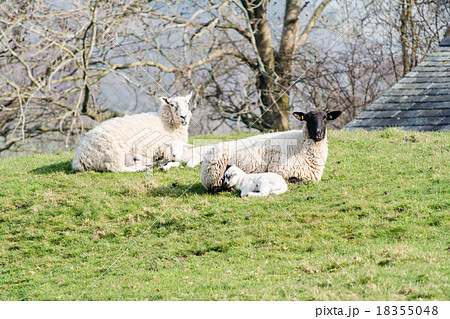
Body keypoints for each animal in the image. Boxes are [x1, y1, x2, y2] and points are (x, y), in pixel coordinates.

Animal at [200, 111, 342, 194]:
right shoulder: (280, 170)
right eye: (307, 118)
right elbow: (295, 180)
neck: (300, 145)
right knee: (215, 188)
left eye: (325, 118)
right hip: (213, 176)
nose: (318, 133)